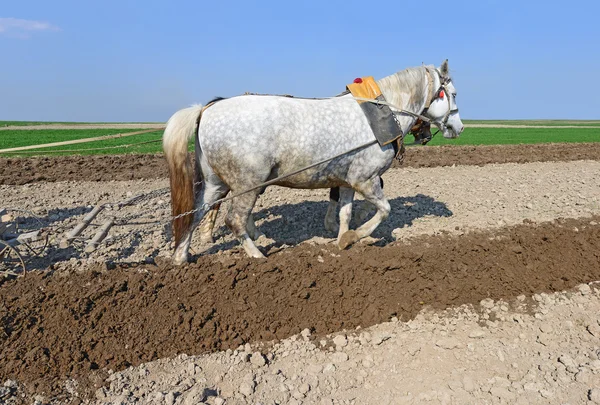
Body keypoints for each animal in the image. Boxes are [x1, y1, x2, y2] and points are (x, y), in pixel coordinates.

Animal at [162, 60, 462, 262]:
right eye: (453, 93)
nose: (458, 128)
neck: (381, 113)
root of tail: (206, 110)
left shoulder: (347, 181)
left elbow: (345, 213)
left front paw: (342, 240)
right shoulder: (365, 179)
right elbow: (384, 210)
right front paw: (356, 235)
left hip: (215, 183)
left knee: (193, 214)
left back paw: (181, 258)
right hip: (247, 182)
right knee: (234, 219)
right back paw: (257, 255)